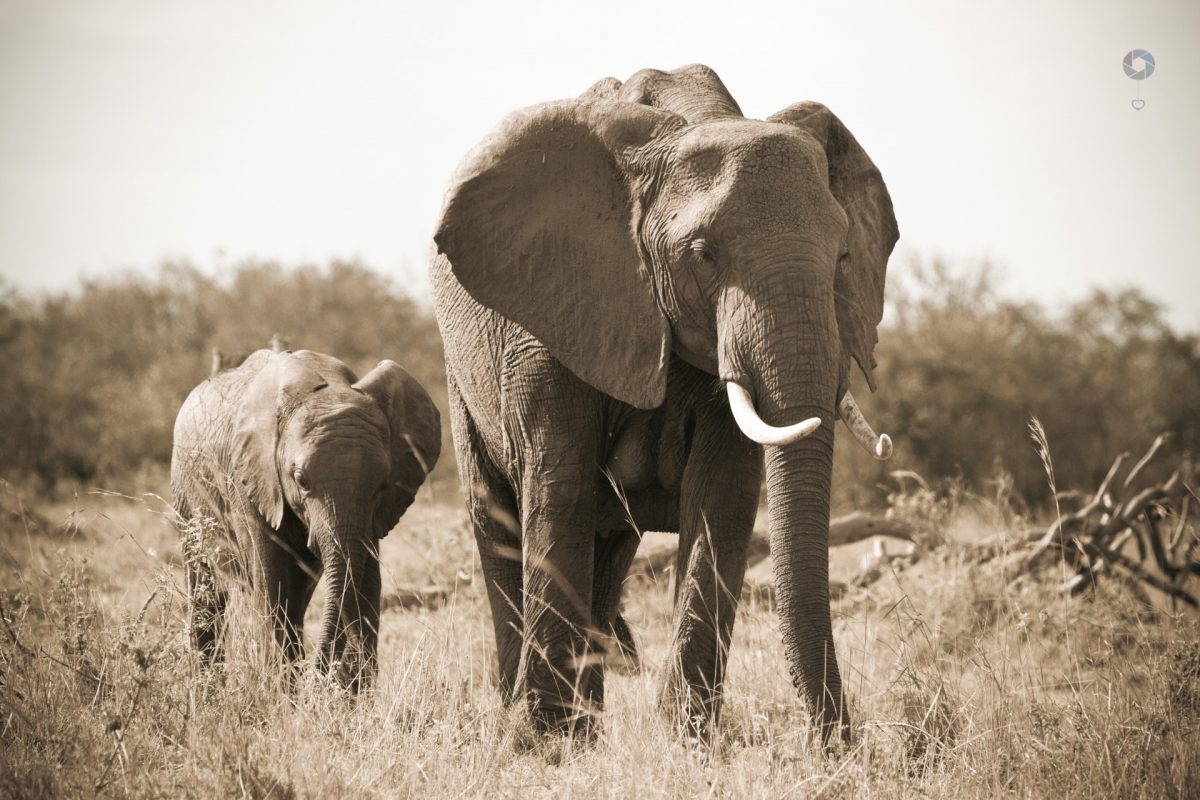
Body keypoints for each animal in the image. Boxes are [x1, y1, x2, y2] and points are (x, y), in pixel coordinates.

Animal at [174, 347, 441, 690]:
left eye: (382, 485)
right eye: (301, 480)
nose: (322, 672)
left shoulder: (373, 515)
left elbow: (367, 583)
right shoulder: (250, 479)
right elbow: (273, 586)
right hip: (186, 493)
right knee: (205, 587)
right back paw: (209, 689)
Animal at [427, 64, 897, 743]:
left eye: (842, 256)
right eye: (703, 254)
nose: (837, 741)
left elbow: (722, 496)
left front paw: (688, 737)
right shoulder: (552, 313)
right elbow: (560, 488)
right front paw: (541, 742)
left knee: (610, 548)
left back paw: (587, 722)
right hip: (459, 375)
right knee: (499, 519)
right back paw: (531, 715)